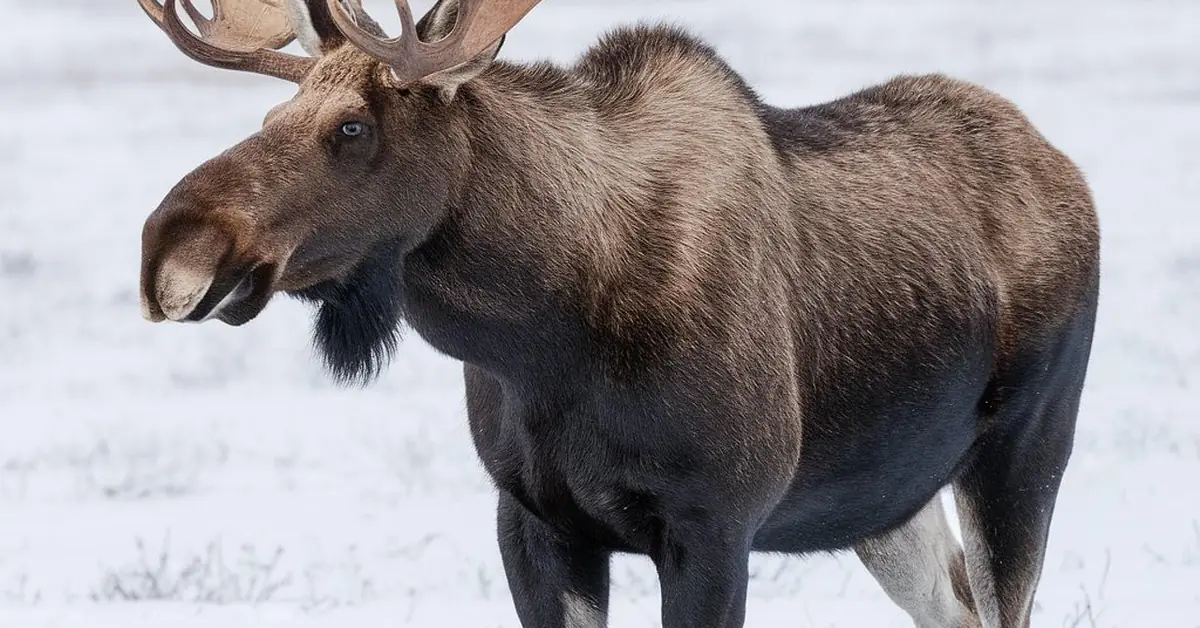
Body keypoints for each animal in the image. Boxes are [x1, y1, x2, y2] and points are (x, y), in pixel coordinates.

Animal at [133, 0, 1101, 626]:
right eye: (274, 111)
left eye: (351, 128)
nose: (171, 249)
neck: (547, 335)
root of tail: (1065, 168)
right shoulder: (532, 521)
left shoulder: (714, 520)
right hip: (887, 501)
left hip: (1026, 451)